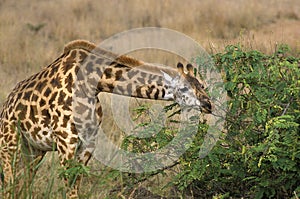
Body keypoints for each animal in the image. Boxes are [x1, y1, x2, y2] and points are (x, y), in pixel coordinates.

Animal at [0, 39, 212, 197]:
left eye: (202, 84)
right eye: (183, 88)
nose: (208, 104)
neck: (93, 82)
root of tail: (5, 107)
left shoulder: (87, 144)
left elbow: (75, 187)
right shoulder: (65, 142)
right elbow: (70, 190)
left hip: (33, 150)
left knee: (22, 185)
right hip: (9, 145)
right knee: (9, 183)